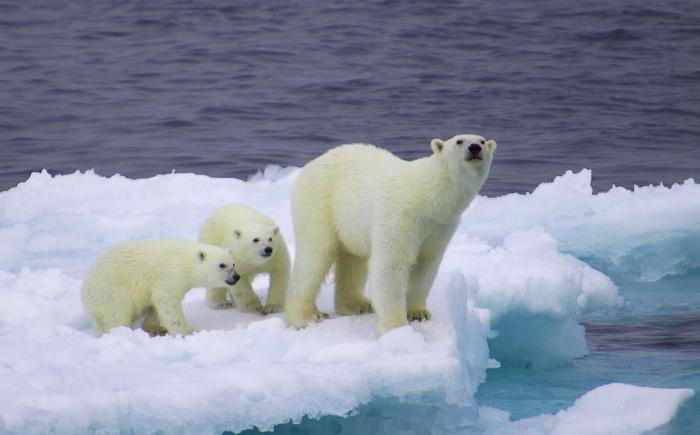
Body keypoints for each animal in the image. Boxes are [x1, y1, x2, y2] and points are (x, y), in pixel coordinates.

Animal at [81, 238, 241, 338]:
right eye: (222, 265)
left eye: (233, 263)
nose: (236, 276)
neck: (185, 260)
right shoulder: (170, 275)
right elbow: (167, 301)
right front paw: (188, 332)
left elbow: (155, 305)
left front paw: (157, 329)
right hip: (112, 289)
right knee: (116, 314)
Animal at [286, 135, 498, 332]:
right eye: (459, 141)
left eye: (482, 140)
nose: (475, 148)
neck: (427, 197)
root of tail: (311, 164)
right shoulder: (400, 214)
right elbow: (391, 265)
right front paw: (397, 327)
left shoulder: (441, 226)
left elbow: (426, 265)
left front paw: (418, 313)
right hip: (319, 201)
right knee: (315, 255)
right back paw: (307, 316)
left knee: (353, 259)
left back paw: (357, 304)